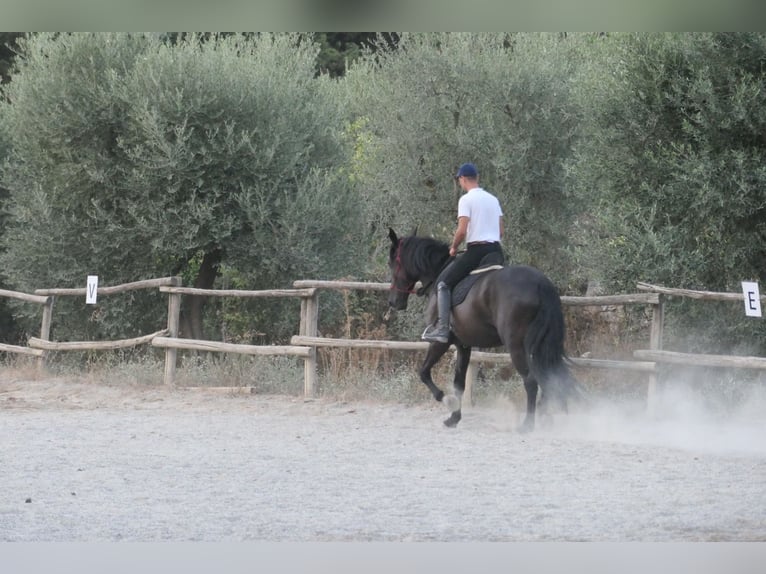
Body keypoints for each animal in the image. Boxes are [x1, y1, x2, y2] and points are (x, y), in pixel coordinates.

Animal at [387, 227, 580, 432]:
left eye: (392, 263)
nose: (393, 302)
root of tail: (540, 283)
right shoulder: (463, 344)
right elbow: (459, 383)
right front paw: (454, 418)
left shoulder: (441, 342)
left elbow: (423, 372)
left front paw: (446, 400)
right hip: (538, 345)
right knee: (549, 378)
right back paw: (545, 419)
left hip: (516, 345)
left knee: (531, 380)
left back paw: (527, 425)